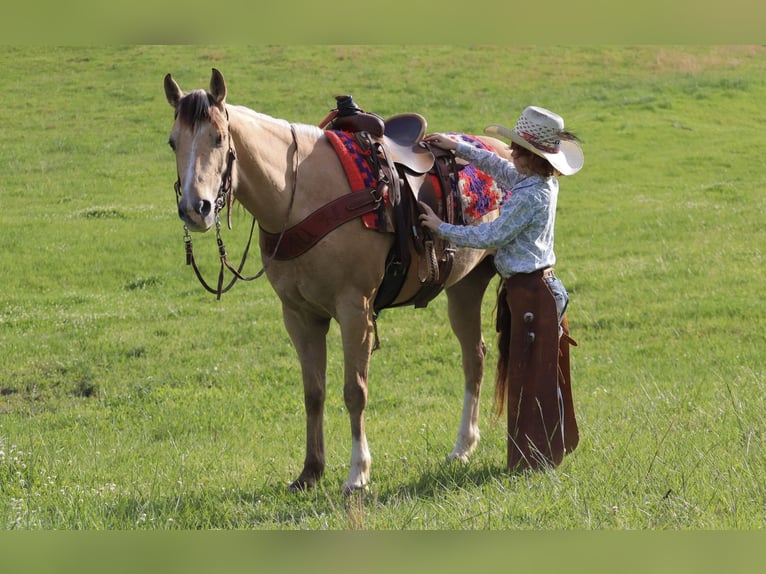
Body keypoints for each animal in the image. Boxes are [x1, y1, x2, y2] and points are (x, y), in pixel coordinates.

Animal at [163, 68, 512, 496]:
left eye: (217, 138)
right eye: (173, 142)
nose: (195, 209)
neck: (298, 196)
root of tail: (501, 149)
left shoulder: (354, 310)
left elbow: (354, 391)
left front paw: (357, 473)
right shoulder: (299, 316)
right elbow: (314, 392)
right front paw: (310, 471)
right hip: (465, 286)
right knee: (474, 356)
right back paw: (463, 446)